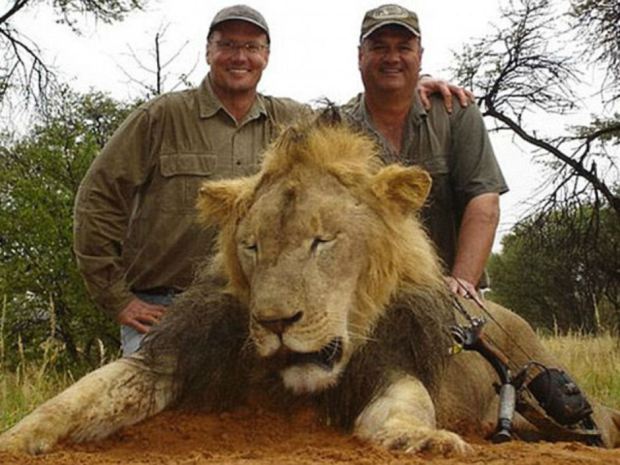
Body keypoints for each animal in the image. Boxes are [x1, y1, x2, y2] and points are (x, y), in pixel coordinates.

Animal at [1, 118, 620, 454]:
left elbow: (408, 405)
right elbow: (77, 398)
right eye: (252, 246)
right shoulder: (178, 357)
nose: (276, 323)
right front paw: (16, 437)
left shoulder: (389, 363)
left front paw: (425, 440)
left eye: (323, 241)